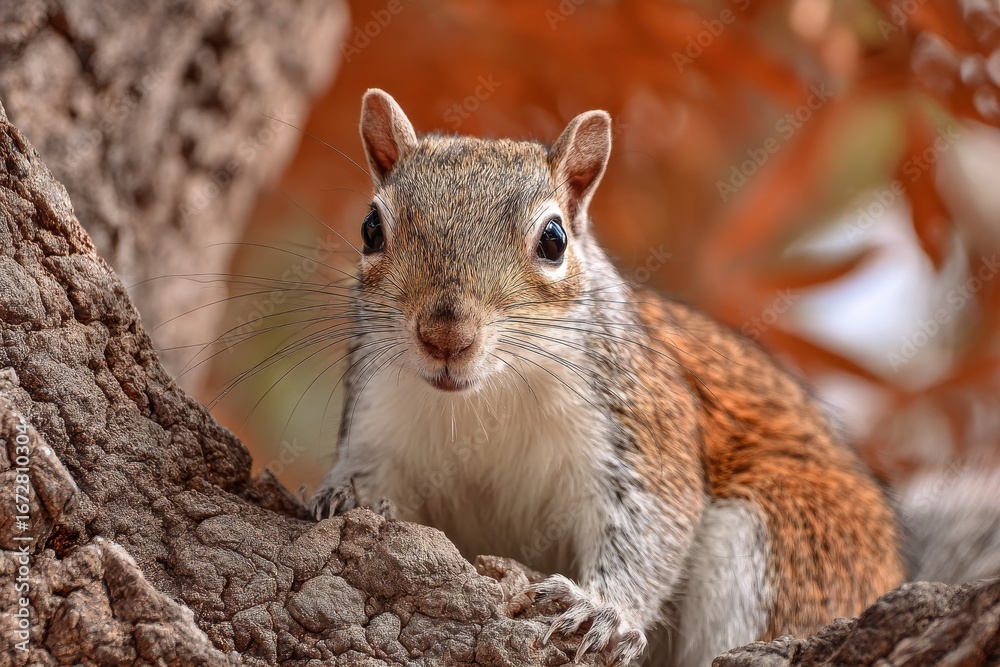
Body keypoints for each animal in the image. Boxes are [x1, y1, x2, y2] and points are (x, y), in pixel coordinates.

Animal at [308, 88, 907, 666]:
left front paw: (603, 611)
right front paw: (346, 497)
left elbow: (654, 523)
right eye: (370, 229)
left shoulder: (637, 419)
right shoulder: (377, 413)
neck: (484, 395)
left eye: (553, 240)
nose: (445, 336)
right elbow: (372, 476)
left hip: (785, 539)